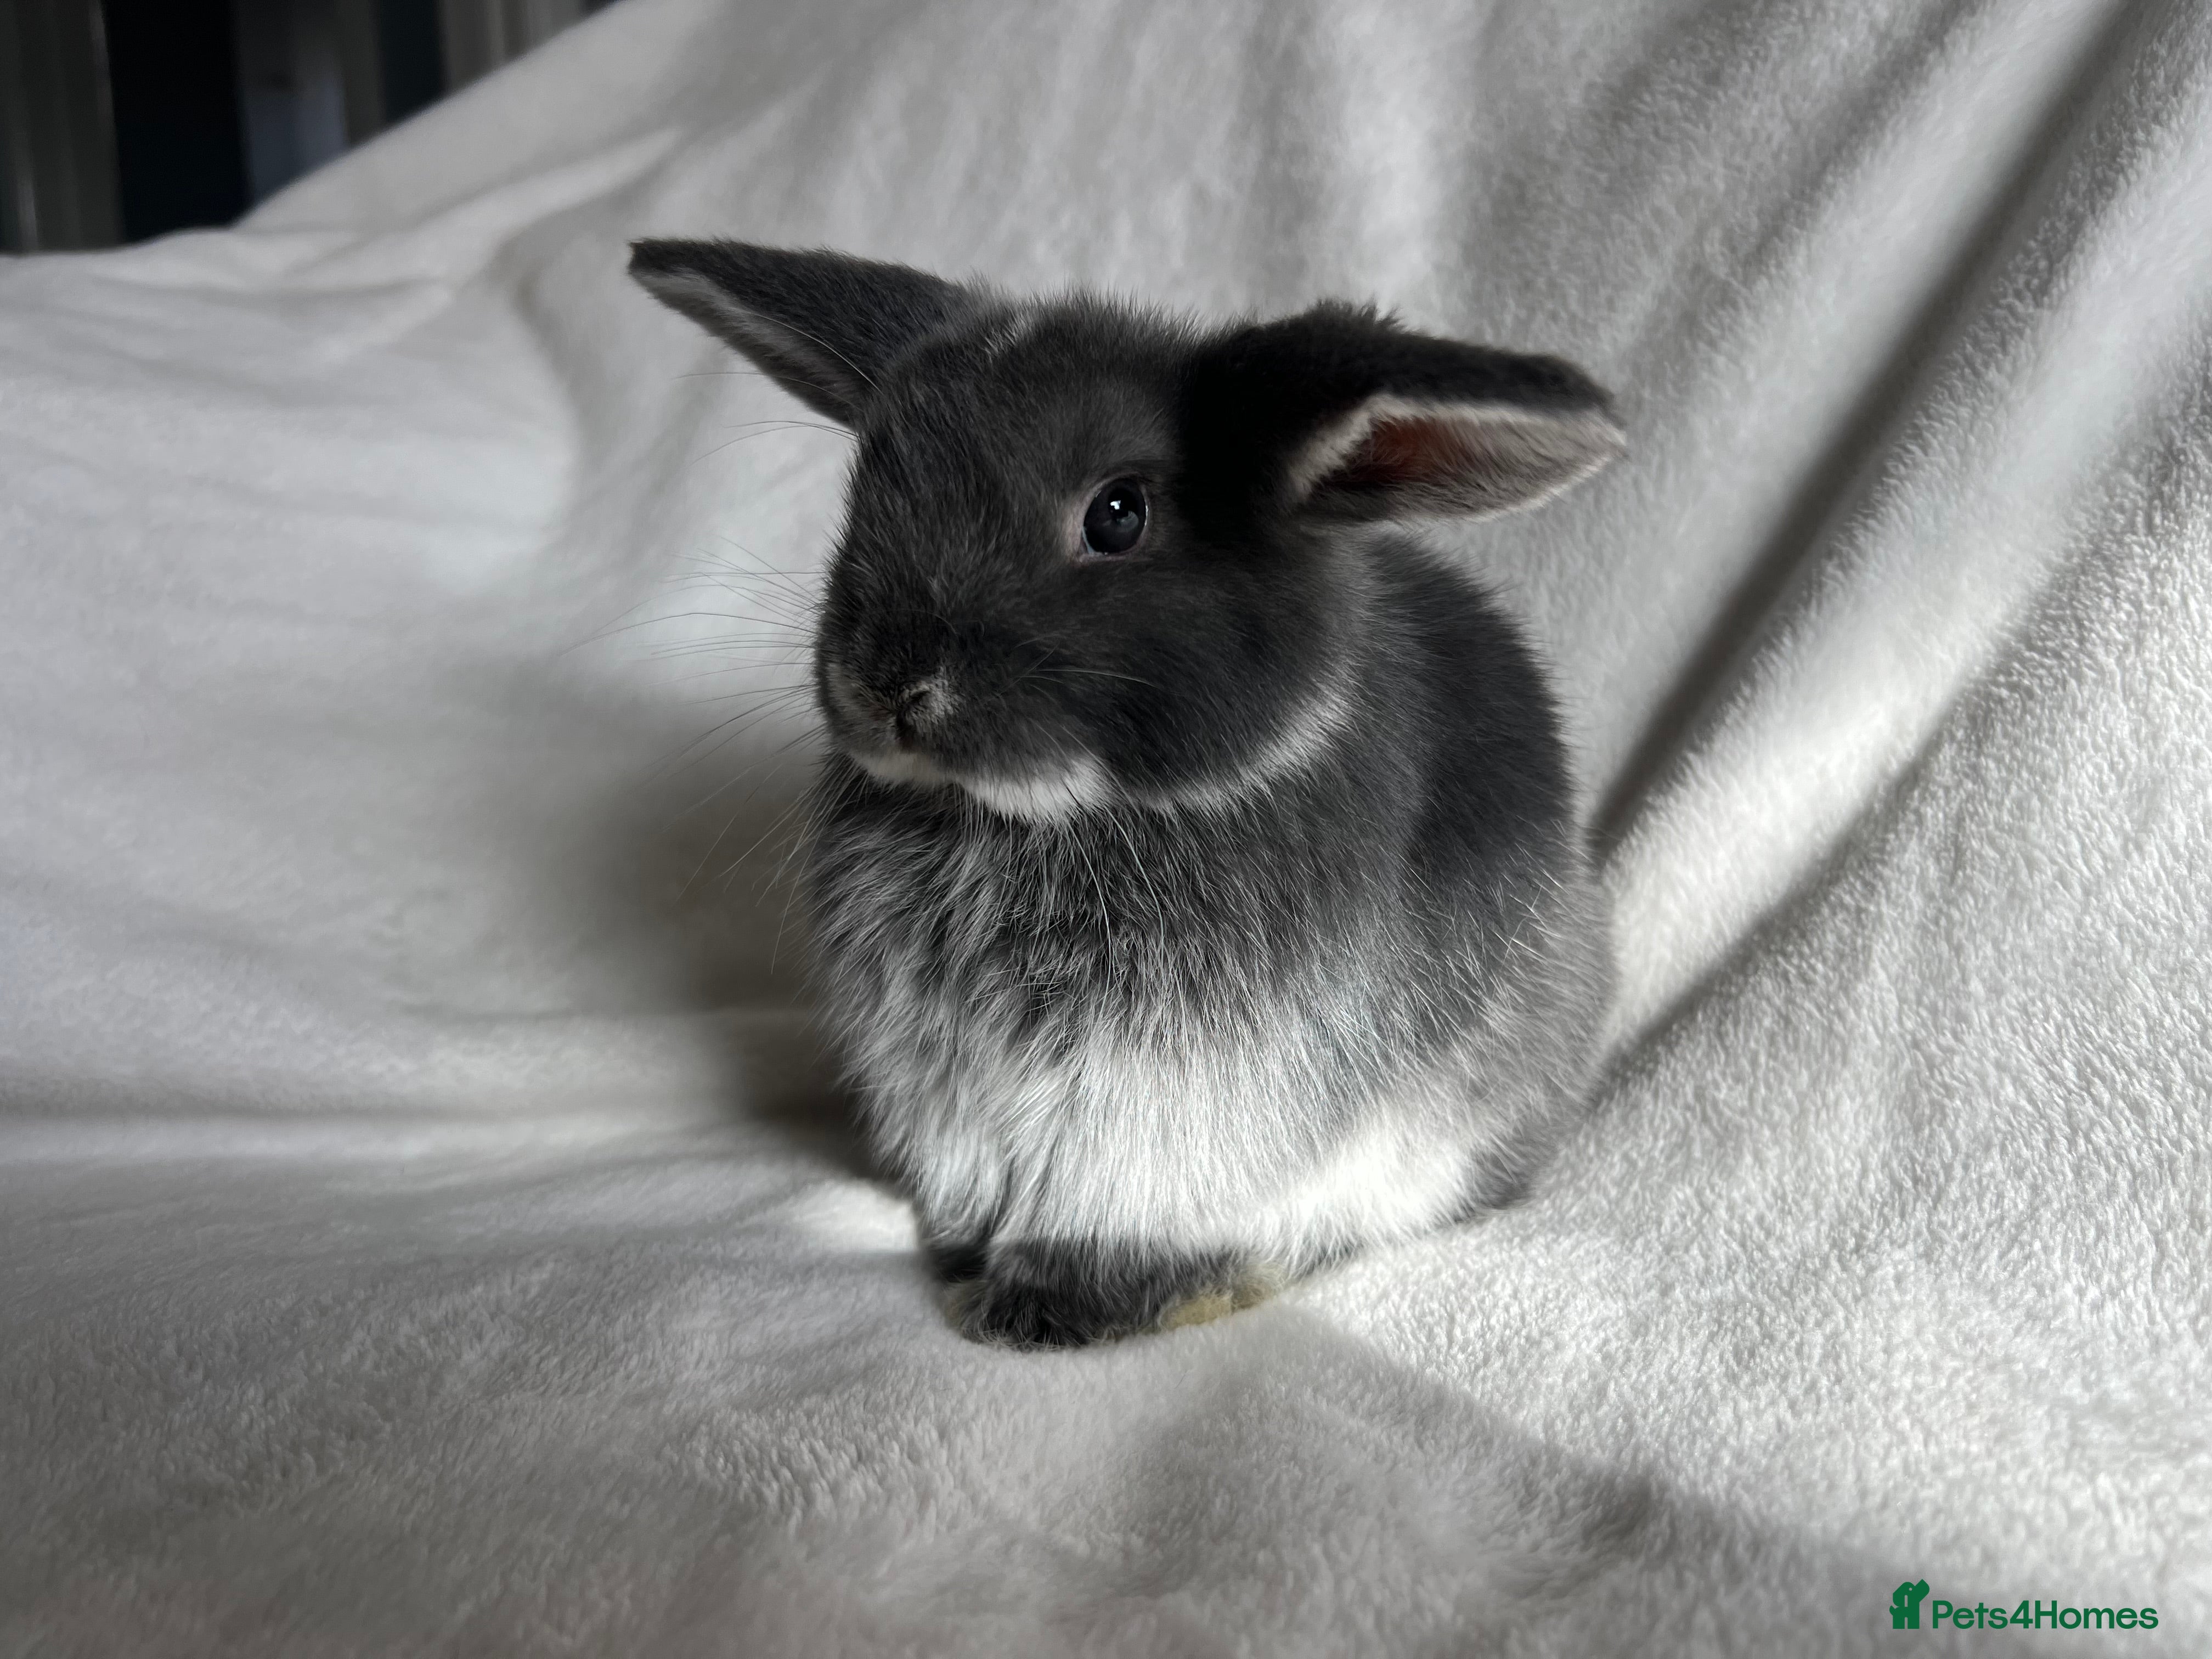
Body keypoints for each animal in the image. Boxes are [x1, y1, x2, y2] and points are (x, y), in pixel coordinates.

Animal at [630, 239, 1621, 1349]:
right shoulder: (945, 1090)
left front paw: (1047, 1309)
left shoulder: (1163, 1096)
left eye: (1117, 514)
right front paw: (969, 1268)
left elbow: (1112, 1204)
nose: (888, 685)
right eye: (869, 487)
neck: (1033, 816)